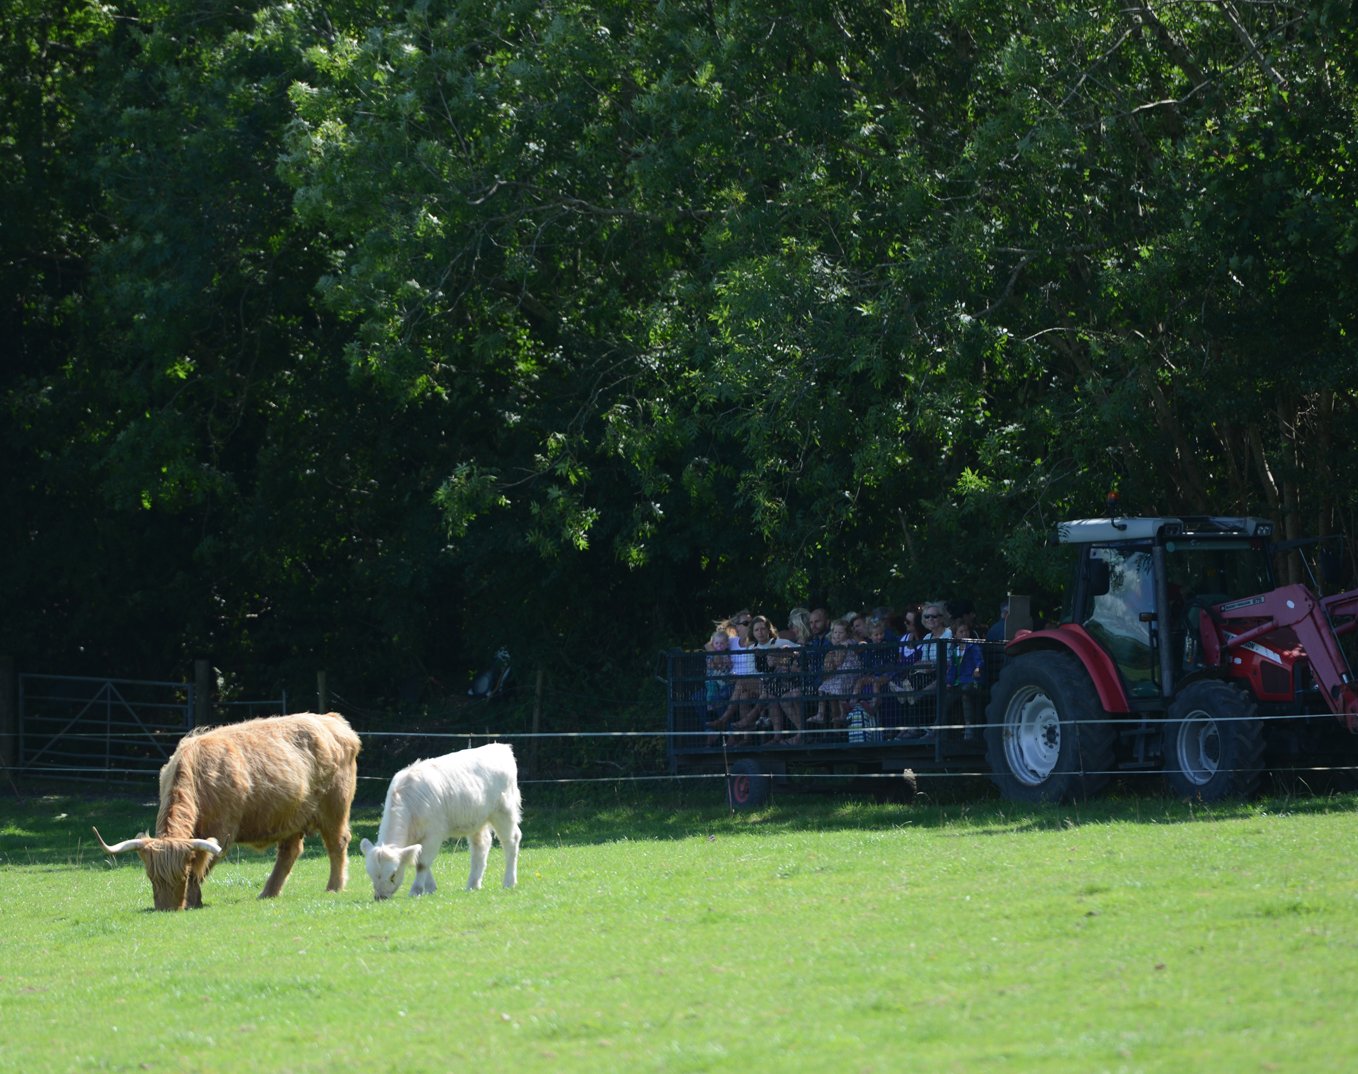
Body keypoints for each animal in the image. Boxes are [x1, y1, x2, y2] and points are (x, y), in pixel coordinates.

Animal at [361, 738, 518, 901]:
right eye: (371, 875)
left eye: (393, 875)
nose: (380, 897)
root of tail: (500, 747)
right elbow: (420, 860)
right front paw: (430, 888)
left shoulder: (433, 834)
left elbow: (422, 863)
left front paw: (416, 890)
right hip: (476, 819)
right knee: (481, 845)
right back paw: (473, 884)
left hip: (503, 811)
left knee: (511, 841)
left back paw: (509, 882)